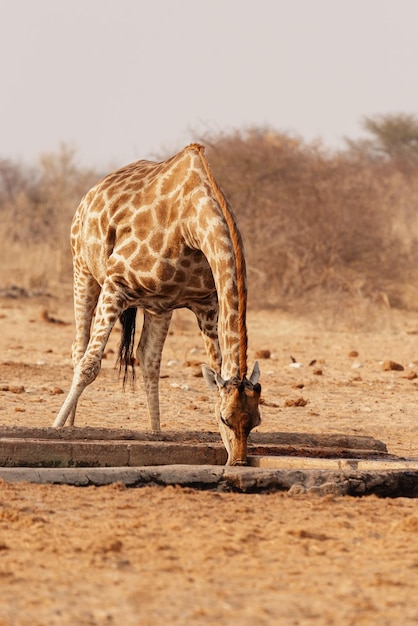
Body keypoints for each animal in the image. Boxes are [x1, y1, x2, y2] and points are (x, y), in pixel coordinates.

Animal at [53, 143, 262, 464]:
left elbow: (214, 371)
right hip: (83, 270)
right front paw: (54, 427)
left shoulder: (206, 304)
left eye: (256, 422)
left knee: (148, 358)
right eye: (225, 419)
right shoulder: (116, 285)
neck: (190, 226)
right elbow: (90, 364)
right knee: (80, 348)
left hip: (158, 306)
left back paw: (155, 434)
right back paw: (70, 427)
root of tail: (90, 193)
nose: (238, 461)